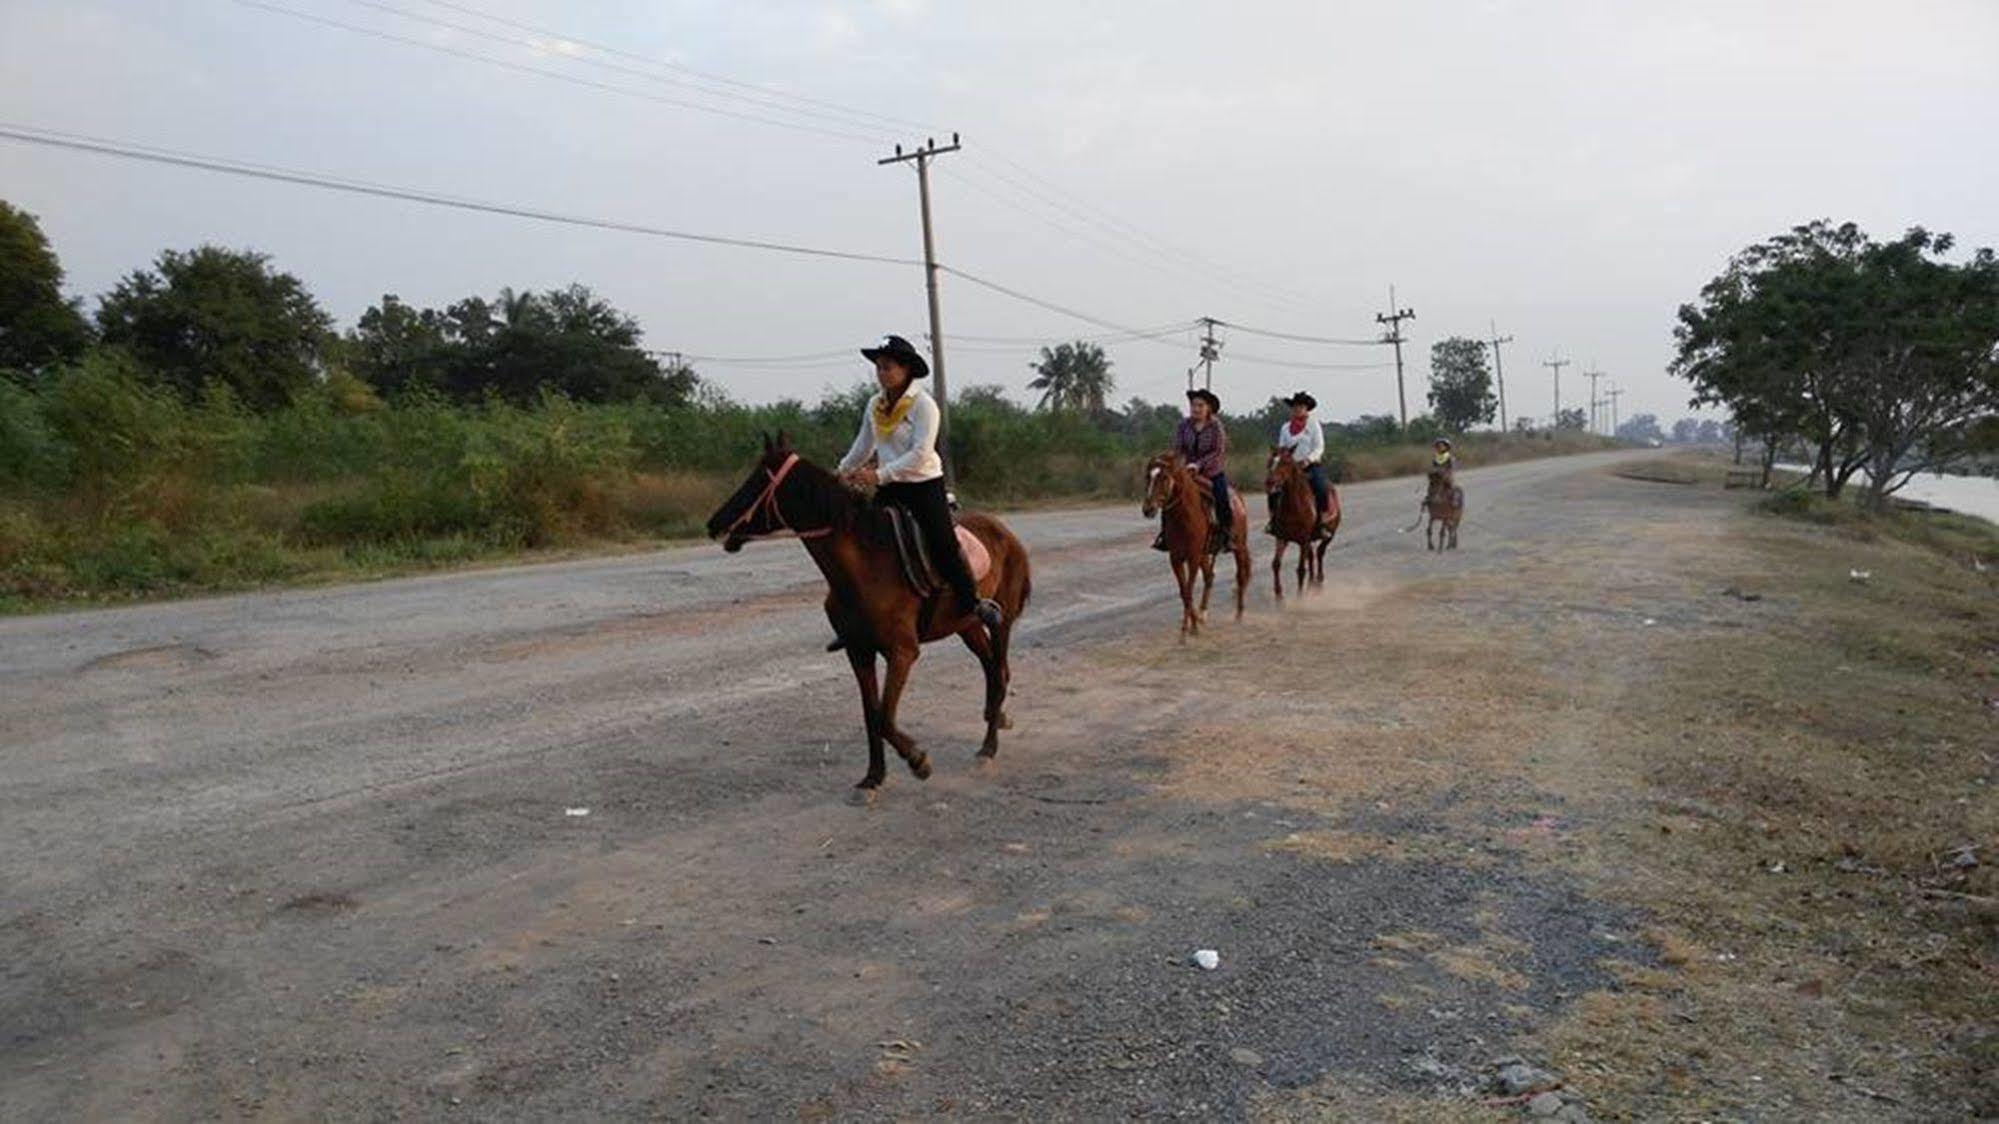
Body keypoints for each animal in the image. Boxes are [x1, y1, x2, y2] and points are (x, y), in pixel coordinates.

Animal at [707, 428, 1031, 788]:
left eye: (757, 481)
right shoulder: (858, 650)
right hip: (966, 624)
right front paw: (873, 777)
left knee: (999, 672)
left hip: (1000, 621)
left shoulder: (902, 652)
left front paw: (918, 760)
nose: (714, 523)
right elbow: (871, 714)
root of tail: (1006, 533)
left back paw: (989, 747)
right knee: (990, 668)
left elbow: (886, 717)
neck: (865, 568)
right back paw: (995, 718)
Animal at [1143, 450, 1247, 636]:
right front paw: (1193, 625)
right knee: (1209, 577)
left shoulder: (1192, 557)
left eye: (1164, 477)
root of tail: (1238, 498)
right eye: (1148, 476)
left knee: (1240, 576)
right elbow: (1184, 592)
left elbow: (1189, 589)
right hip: (1204, 555)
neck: (1185, 517)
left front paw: (1189, 628)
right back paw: (1202, 613)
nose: (1148, 509)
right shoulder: (1176, 558)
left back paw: (1239, 615)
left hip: (1239, 547)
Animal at [1263, 446, 1343, 600]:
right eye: (1270, 461)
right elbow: (1276, 564)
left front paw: (1300, 597)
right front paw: (1279, 595)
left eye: (1285, 462)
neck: (1293, 506)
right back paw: (1311, 584)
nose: (1270, 483)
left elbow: (1300, 569)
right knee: (1311, 556)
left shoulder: (1303, 539)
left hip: (1329, 535)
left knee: (1320, 553)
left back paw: (1319, 581)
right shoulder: (1282, 537)